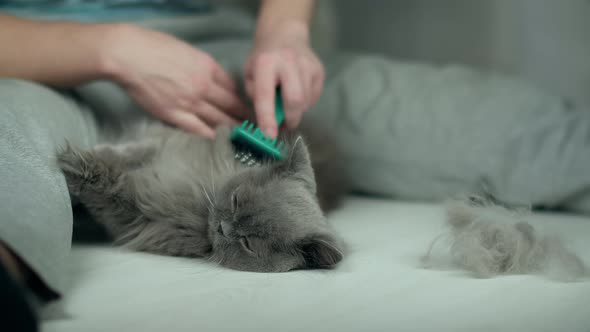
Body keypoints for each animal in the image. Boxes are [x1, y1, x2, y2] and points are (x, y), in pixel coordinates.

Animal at [56, 122, 346, 272]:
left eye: (248, 243)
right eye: (236, 200)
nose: (223, 228)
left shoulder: (135, 215)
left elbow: (108, 186)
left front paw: (73, 165)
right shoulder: (165, 143)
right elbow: (126, 152)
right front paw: (77, 156)